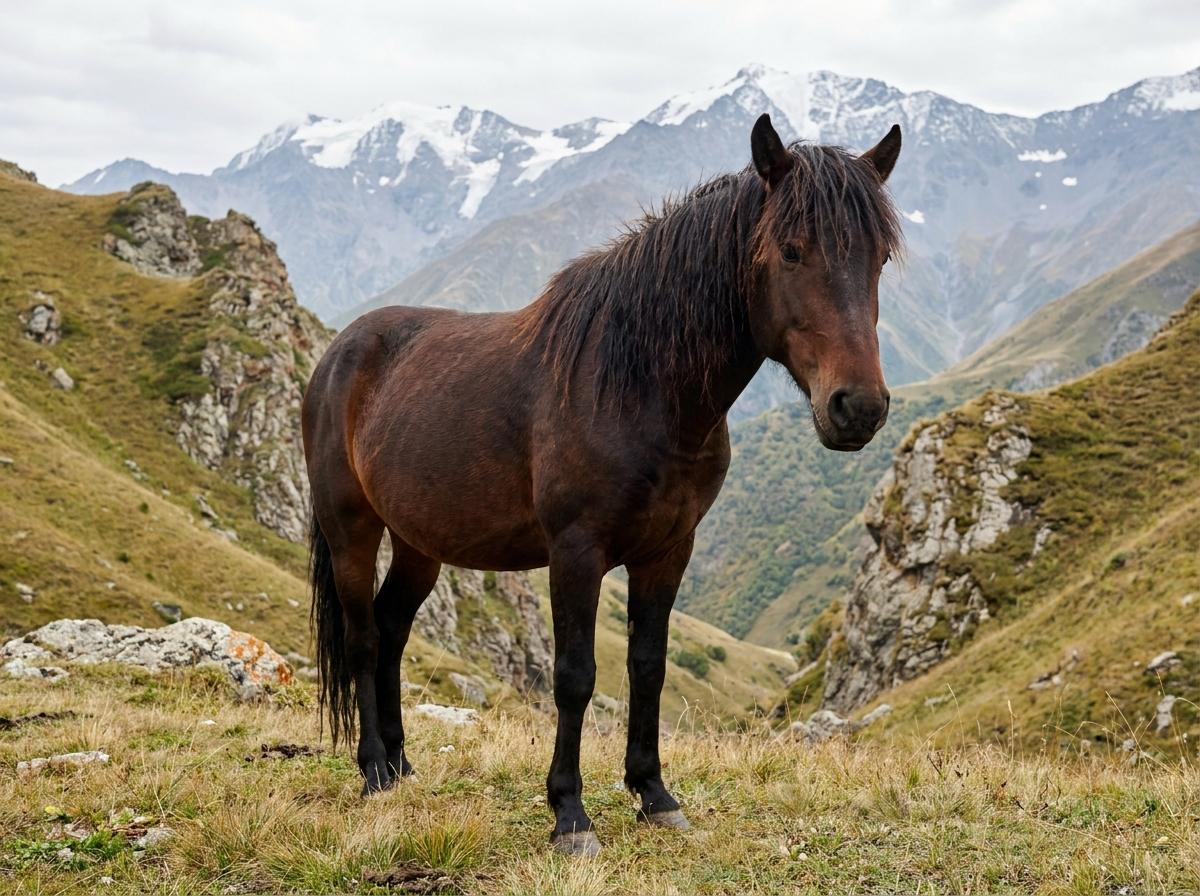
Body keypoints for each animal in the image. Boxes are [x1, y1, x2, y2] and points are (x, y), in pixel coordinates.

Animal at [302, 113, 903, 856]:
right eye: (791, 252)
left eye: (878, 260)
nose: (859, 408)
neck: (639, 387)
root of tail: (341, 350)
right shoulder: (576, 551)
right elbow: (575, 677)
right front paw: (570, 814)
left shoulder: (668, 550)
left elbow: (648, 667)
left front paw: (654, 794)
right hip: (351, 529)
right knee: (361, 638)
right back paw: (375, 771)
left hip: (421, 543)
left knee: (390, 630)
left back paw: (402, 761)